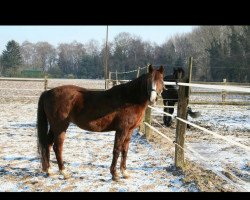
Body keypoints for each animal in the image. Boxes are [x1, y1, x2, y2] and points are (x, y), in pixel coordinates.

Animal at [36, 65, 164, 180]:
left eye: (161, 80)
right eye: (149, 81)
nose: (153, 99)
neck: (129, 99)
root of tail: (48, 92)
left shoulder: (129, 131)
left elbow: (125, 150)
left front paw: (124, 172)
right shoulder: (121, 130)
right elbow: (116, 150)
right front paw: (114, 174)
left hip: (54, 127)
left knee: (47, 144)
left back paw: (49, 170)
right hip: (60, 127)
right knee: (57, 147)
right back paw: (64, 172)